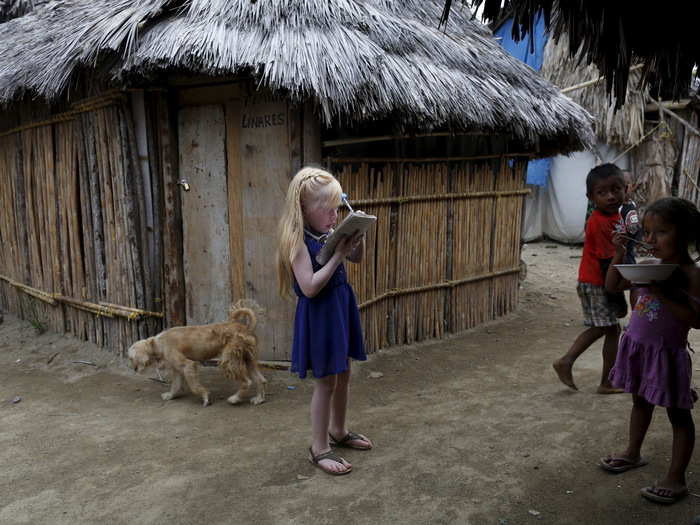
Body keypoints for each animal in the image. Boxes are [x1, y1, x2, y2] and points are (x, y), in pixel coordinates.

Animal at [127, 302, 266, 406]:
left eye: (132, 358)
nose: (134, 369)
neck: (157, 343)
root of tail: (245, 328)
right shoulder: (177, 370)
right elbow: (175, 385)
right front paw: (170, 395)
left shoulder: (187, 365)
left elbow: (194, 387)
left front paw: (205, 397)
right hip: (248, 359)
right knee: (261, 380)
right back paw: (259, 399)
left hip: (229, 361)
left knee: (247, 382)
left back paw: (235, 398)